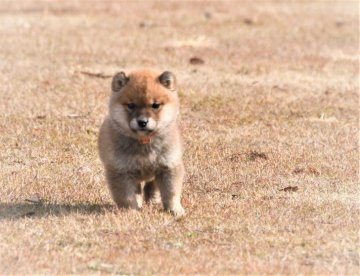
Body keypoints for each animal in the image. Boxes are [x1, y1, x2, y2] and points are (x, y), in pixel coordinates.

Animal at [97, 70, 186, 217]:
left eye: (155, 105)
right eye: (131, 105)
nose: (142, 122)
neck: (144, 142)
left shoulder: (168, 166)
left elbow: (171, 193)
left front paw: (175, 210)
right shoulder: (121, 171)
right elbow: (127, 196)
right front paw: (131, 211)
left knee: (152, 185)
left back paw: (153, 199)